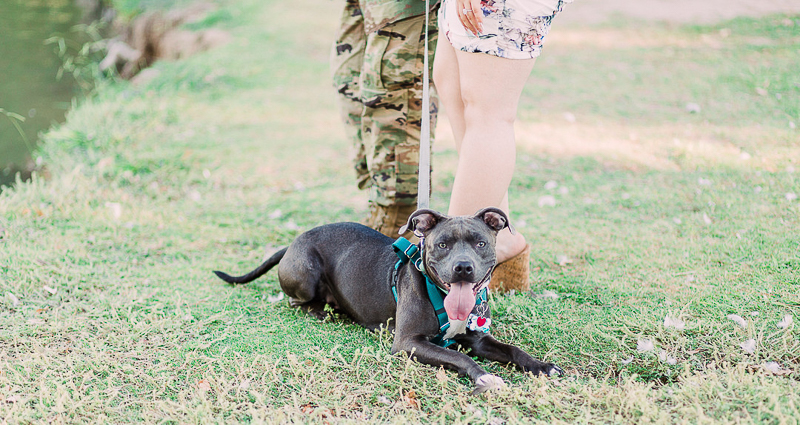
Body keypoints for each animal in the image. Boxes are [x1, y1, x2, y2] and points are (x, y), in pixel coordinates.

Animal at [214, 207, 564, 392]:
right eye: (442, 244)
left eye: (480, 243)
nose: (463, 267)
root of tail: (291, 243)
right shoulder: (408, 343)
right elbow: (459, 357)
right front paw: (483, 376)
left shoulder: (478, 339)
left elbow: (513, 350)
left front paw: (542, 366)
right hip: (306, 270)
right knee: (297, 302)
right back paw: (326, 312)